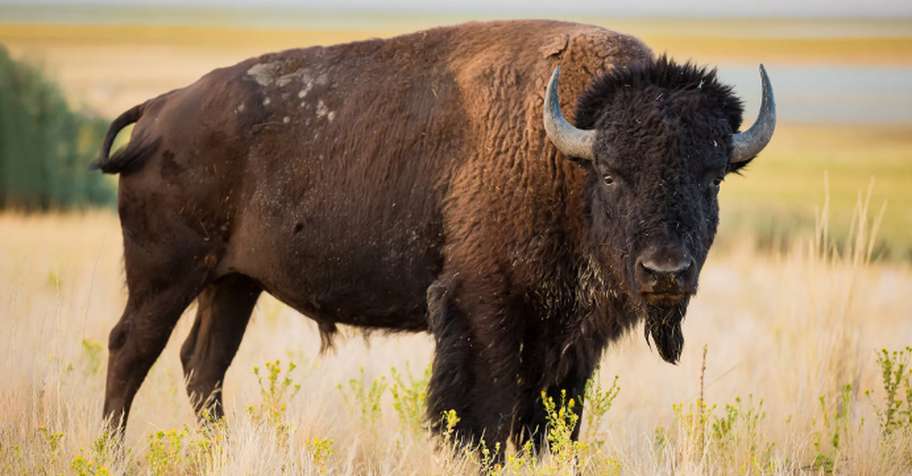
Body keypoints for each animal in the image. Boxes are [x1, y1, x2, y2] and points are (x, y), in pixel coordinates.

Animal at [95, 19, 775, 452]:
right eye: (611, 174)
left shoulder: (570, 339)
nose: (666, 272)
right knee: (132, 349)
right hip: (166, 275)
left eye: (713, 177)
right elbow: (483, 418)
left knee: (202, 365)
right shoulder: (484, 309)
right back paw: (110, 451)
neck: (563, 154)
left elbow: (547, 424)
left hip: (234, 283)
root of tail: (160, 109)